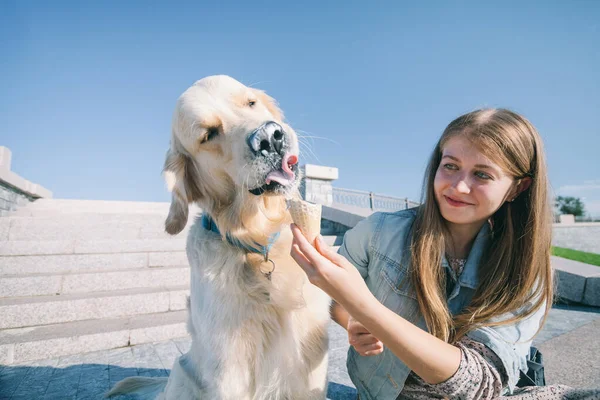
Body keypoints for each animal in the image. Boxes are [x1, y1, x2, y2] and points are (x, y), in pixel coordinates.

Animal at [108, 76, 332, 400]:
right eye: (209, 134)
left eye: (251, 102)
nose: (270, 137)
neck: (256, 242)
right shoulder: (228, 368)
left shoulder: (311, 357)